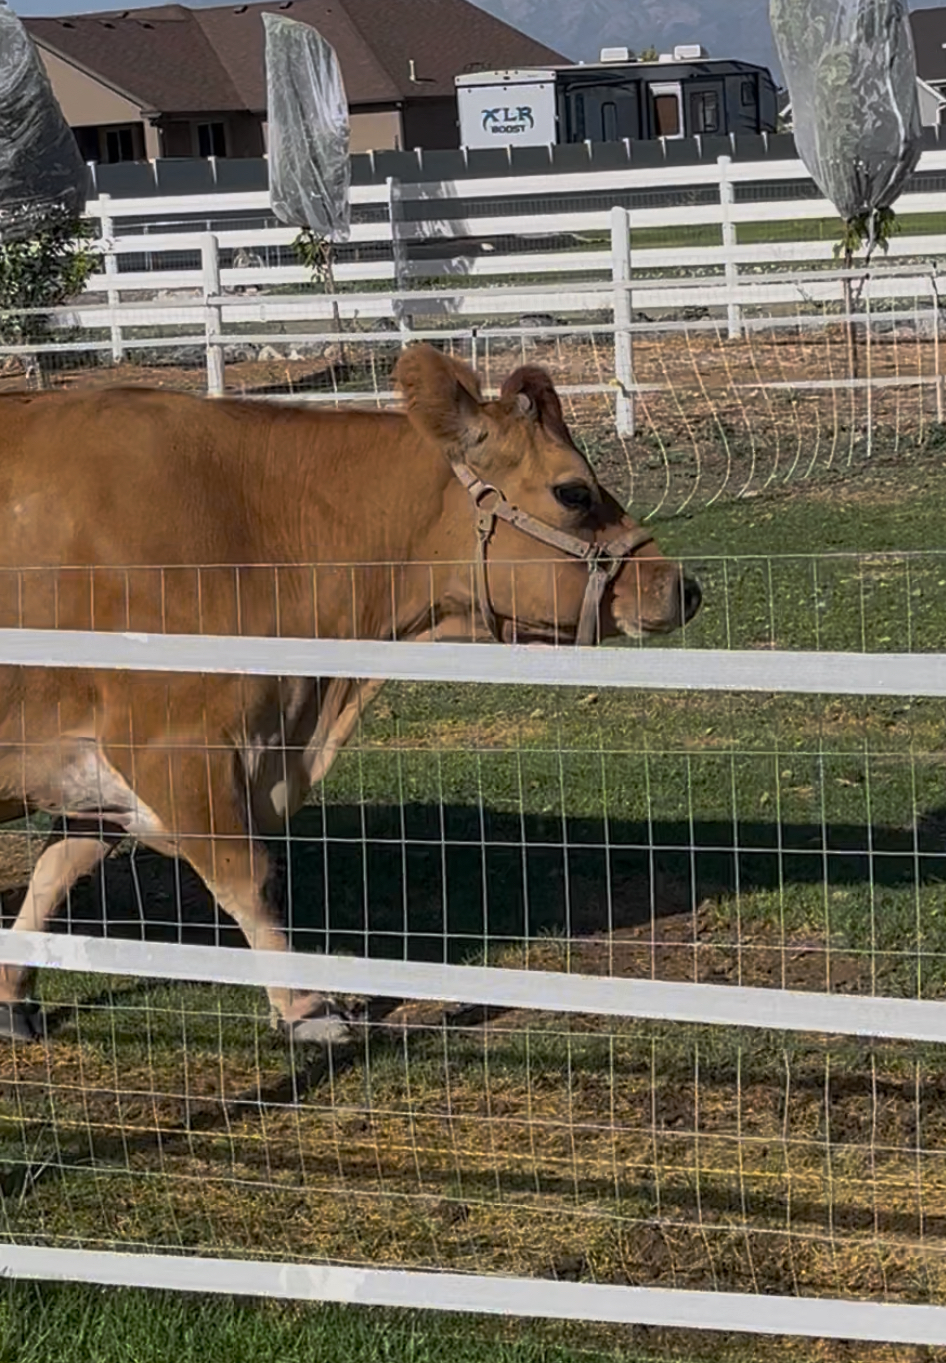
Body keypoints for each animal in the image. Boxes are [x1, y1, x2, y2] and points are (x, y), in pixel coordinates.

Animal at [0, 344, 701, 1045]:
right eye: (574, 491)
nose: (680, 585)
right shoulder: (175, 746)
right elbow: (247, 876)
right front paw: (306, 1008)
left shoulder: (94, 771)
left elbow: (55, 873)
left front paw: (13, 993)